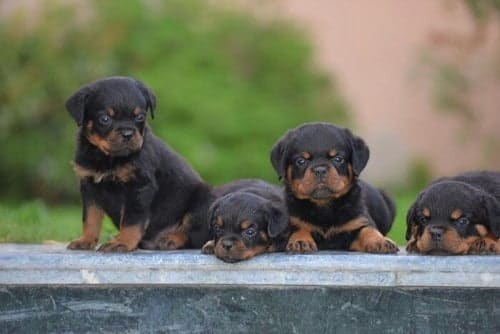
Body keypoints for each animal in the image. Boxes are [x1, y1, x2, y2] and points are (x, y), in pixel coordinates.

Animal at [65, 76, 212, 253]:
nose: (128, 134)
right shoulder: (89, 186)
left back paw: (170, 238)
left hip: (203, 199)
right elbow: (90, 218)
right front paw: (85, 240)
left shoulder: (139, 187)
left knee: (193, 230)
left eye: (140, 116)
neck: (107, 158)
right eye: (105, 119)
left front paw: (123, 242)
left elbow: (131, 220)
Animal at [272, 122, 396, 253]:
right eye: (301, 161)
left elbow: (368, 230)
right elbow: (299, 229)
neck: (324, 206)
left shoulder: (359, 220)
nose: (320, 170)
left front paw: (380, 240)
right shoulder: (293, 221)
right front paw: (300, 240)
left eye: (338, 159)